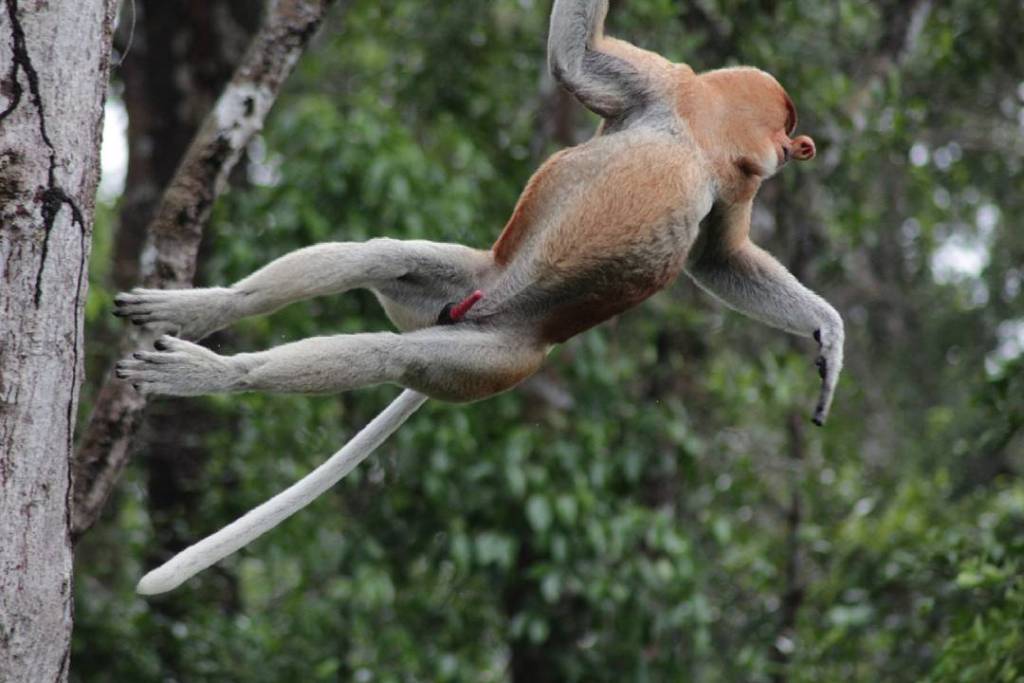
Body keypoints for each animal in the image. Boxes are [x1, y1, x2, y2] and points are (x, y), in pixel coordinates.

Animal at [120, 0, 843, 594]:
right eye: (787, 128)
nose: (796, 149)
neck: (703, 130)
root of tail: (485, 312)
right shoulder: (662, 86)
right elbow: (573, 59)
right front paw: (829, 336)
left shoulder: (725, 168)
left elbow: (719, 258)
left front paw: (828, 339)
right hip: (480, 283)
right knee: (380, 258)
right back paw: (202, 321)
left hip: (495, 358)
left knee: (393, 346)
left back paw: (211, 366)